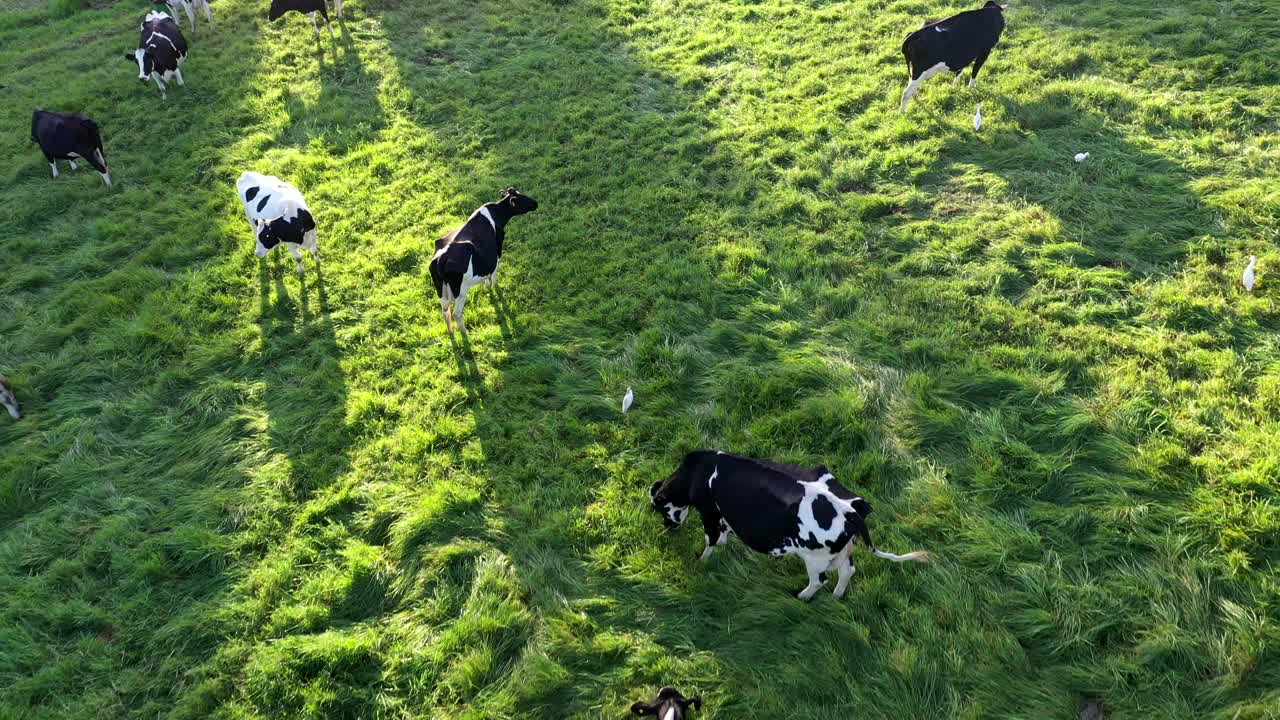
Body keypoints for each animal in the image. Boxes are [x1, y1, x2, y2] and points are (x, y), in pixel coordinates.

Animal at [429, 187, 538, 335]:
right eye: (522, 199)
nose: (536, 203)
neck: (495, 213)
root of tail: (442, 258)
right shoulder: (497, 252)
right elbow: (494, 272)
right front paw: (494, 287)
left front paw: (487, 286)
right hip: (461, 291)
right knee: (456, 313)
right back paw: (465, 333)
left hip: (441, 291)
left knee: (445, 311)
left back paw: (451, 333)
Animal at [649, 451, 930, 600]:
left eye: (659, 508)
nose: (666, 527)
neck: (696, 473)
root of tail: (851, 509)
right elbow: (723, 534)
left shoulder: (709, 511)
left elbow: (711, 539)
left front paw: (702, 560)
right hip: (841, 551)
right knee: (847, 571)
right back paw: (836, 597)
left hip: (815, 558)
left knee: (819, 580)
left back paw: (802, 597)